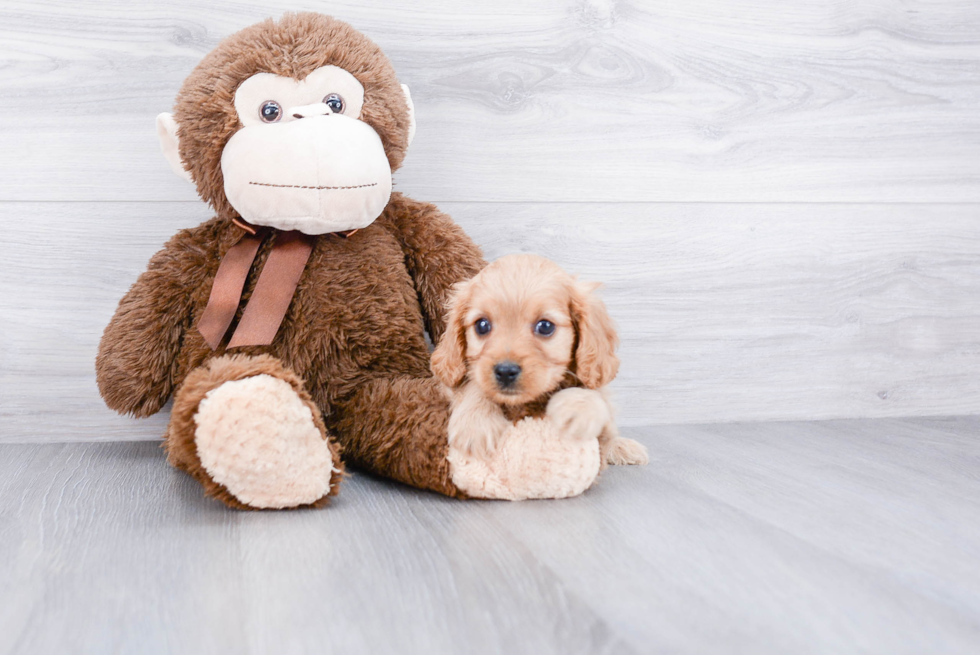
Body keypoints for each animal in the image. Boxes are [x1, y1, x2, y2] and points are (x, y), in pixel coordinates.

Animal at [430, 254, 648, 500]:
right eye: (482, 325)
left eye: (545, 326)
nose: (505, 371)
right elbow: (472, 384)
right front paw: (476, 425)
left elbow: (595, 396)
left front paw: (577, 412)